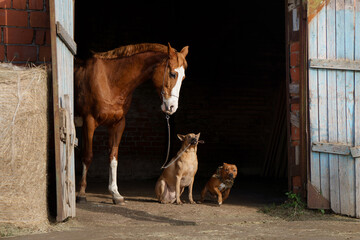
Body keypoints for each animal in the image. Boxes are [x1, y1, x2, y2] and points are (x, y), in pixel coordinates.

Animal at [75, 43, 190, 204]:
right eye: (173, 74)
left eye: (183, 77)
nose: (172, 107)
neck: (109, 81)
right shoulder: (89, 121)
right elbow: (87, 156)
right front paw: (81, 193)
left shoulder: (117, 124)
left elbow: (113, 157)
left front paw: (115, 194)